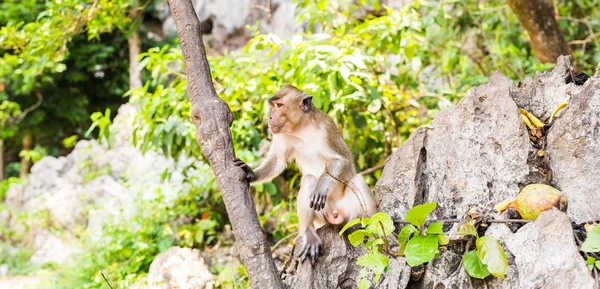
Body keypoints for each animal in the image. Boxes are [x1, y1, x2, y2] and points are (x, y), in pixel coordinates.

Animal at [233, 82, 376, 264]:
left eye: (279, 106)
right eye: (273, 105)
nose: (270, 117)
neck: (302, 128)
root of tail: (336, 214)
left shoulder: (325, 130)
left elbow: (342, 161)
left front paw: (321, 187)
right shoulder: (282, 135)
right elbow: (278, 160)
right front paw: (251, 173)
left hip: (351, 212)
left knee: (356, 180)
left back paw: (378, 227)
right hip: (321, 214)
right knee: (308, 179)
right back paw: (308, 232)